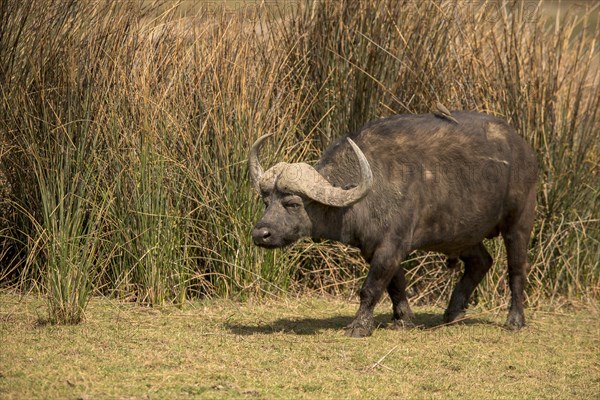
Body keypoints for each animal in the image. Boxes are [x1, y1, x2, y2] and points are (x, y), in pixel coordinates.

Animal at [246, 111, 536, 336]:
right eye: (266, 201)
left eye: (293, 204)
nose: (261, 234)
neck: (367, 194)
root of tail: (525, 150)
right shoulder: (374, 248)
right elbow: (395, 284)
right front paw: (403, 319)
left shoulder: (391, 245)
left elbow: (371, 287)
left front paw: (359, 326)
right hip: (461, 234)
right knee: (481, 261)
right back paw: (453, 312)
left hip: (518, 223)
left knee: (516, 270)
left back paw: (514, 320)